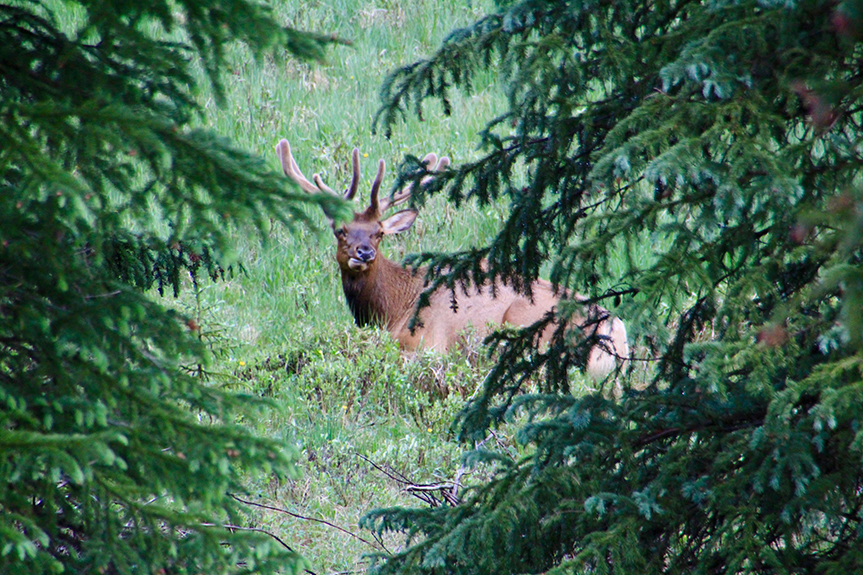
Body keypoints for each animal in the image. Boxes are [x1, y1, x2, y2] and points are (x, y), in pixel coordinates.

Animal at [276, 137, 628, 376]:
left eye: (379, 232)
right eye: (341, 230)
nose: (364, 252)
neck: (393, 310)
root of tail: (614, 335)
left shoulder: (426, 344)